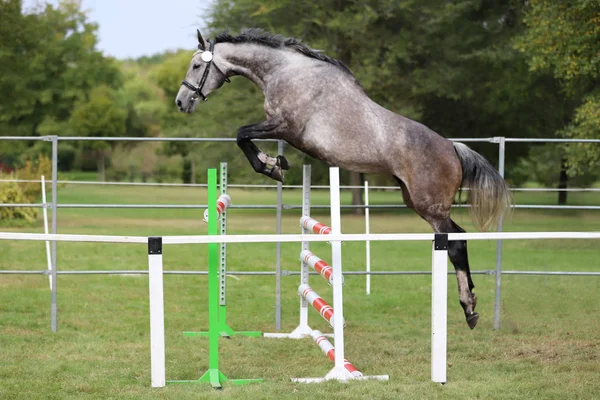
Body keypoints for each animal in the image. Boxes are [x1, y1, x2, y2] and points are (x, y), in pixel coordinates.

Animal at [175, 27, 510, 328]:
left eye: (196, 66)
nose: (181, 102)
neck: (287, 72)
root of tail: (452, 148)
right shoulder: (282, 129)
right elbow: (245, 137)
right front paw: (276, 163)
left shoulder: (284, 126)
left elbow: (242, 134)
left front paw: (272, 166)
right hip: (418, 203)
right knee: (459, 237)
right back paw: (470, 306)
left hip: (432, 207)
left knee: (455, 244)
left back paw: (469, 309)